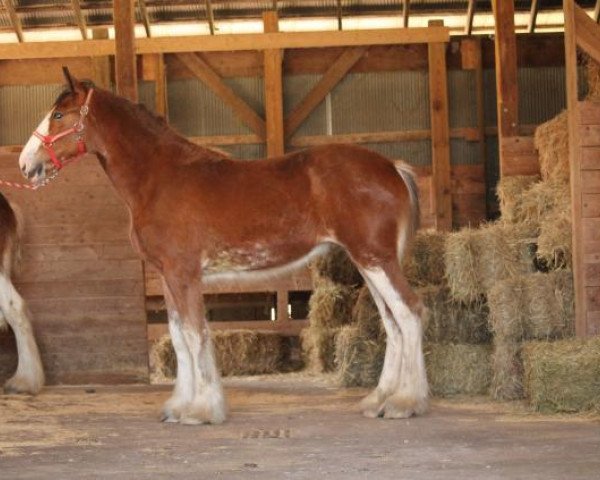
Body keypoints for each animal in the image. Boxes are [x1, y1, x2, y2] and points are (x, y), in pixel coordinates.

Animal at [18, 68, 428, 424]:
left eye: (58, 114)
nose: (24, 164)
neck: (159, 177)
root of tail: (392, 166)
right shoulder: (168, 277)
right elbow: (178, 338)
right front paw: (178, 407)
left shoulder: (184, 274)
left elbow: (194, 335)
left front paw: (202, 411)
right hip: (367, 262)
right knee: (392, 322)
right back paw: (378, 399)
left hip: (375, 259)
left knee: (408, 312)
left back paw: (405, 403)